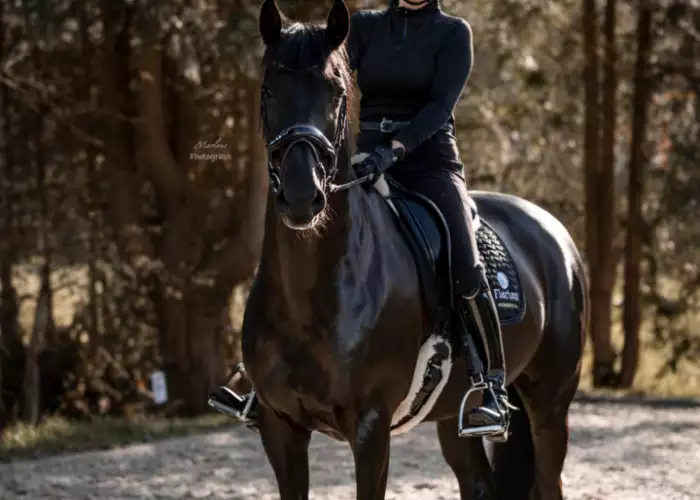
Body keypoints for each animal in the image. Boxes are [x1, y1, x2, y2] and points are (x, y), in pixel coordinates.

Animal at [234, 1, 587, 498]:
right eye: (268, 90)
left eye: (337, 92)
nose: (303, 196)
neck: (313, 294)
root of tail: (553, 230)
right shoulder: (279, 426)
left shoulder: (370, 426)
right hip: (455, 414)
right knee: (478, 483)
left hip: (551, 404)